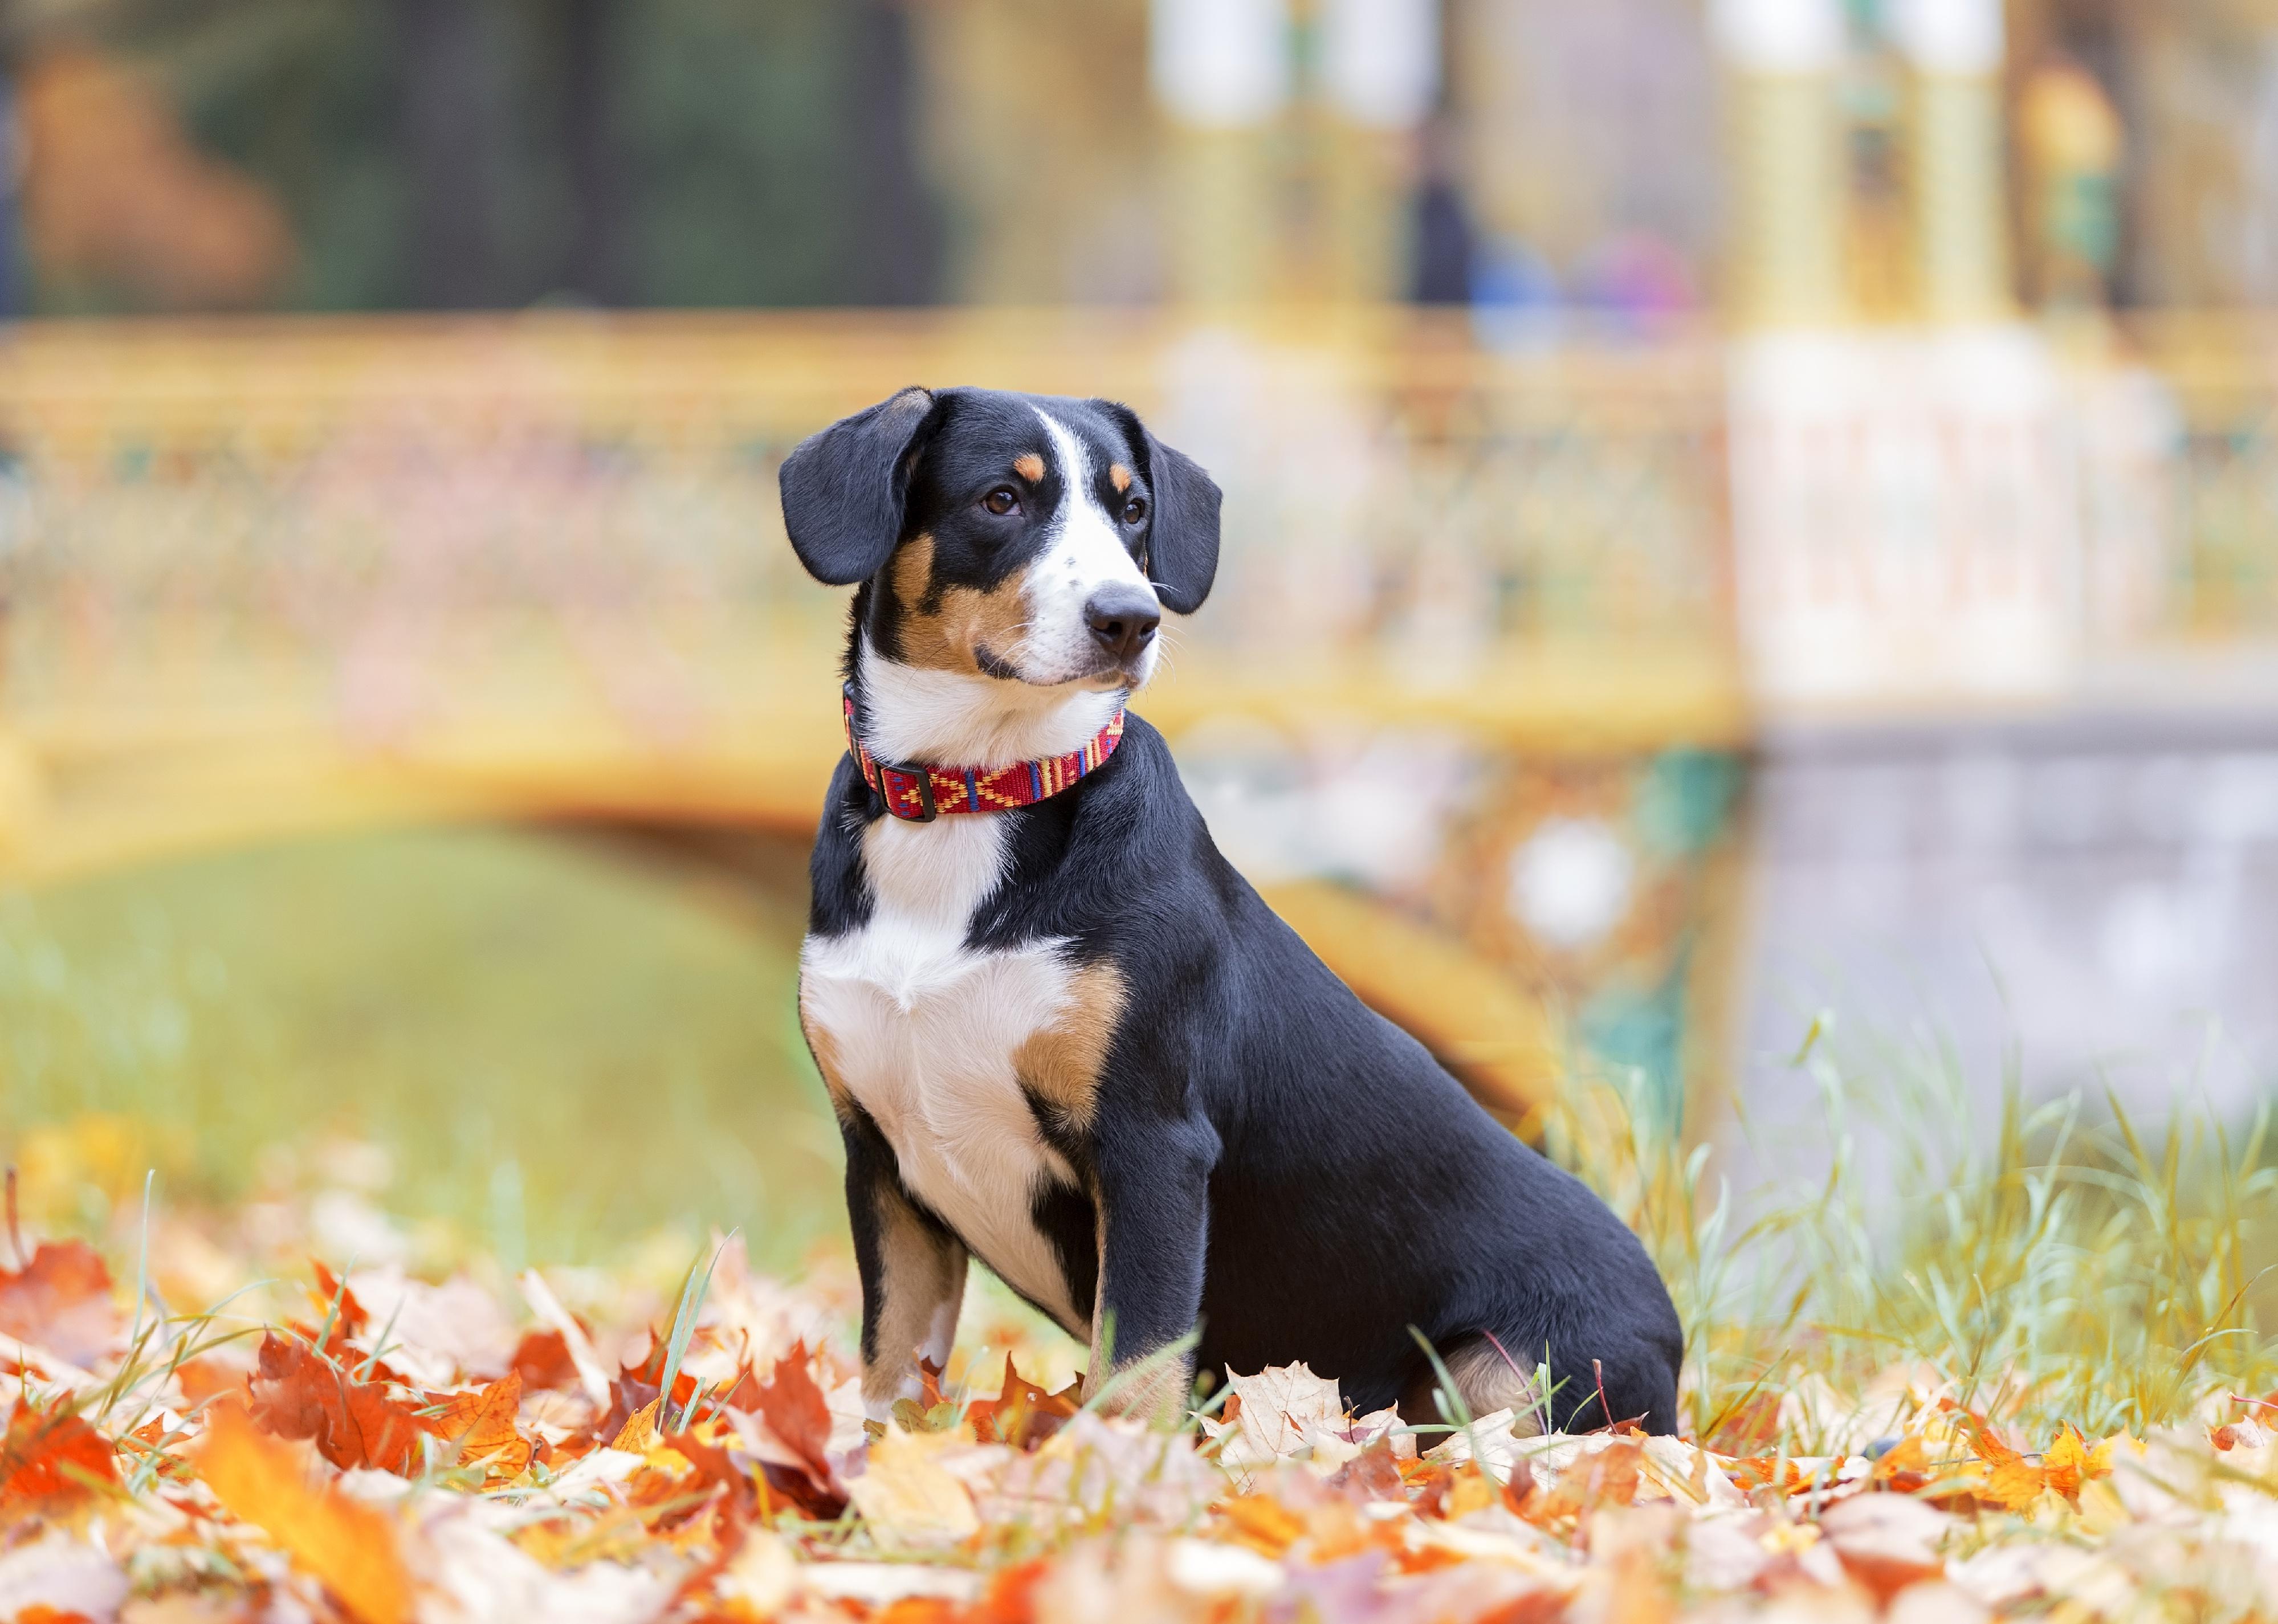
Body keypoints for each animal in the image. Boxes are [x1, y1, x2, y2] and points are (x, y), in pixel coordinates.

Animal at [783, 389, 1694, 1430]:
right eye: (1001, 499)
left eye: (1132, 511)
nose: (1129, 619)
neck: (977, 798)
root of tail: (1673, 1335)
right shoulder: (884, 1164)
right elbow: (892, 1368)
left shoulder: (1151, 1145)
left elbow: (1135, 1363)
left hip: (1510, 1370)